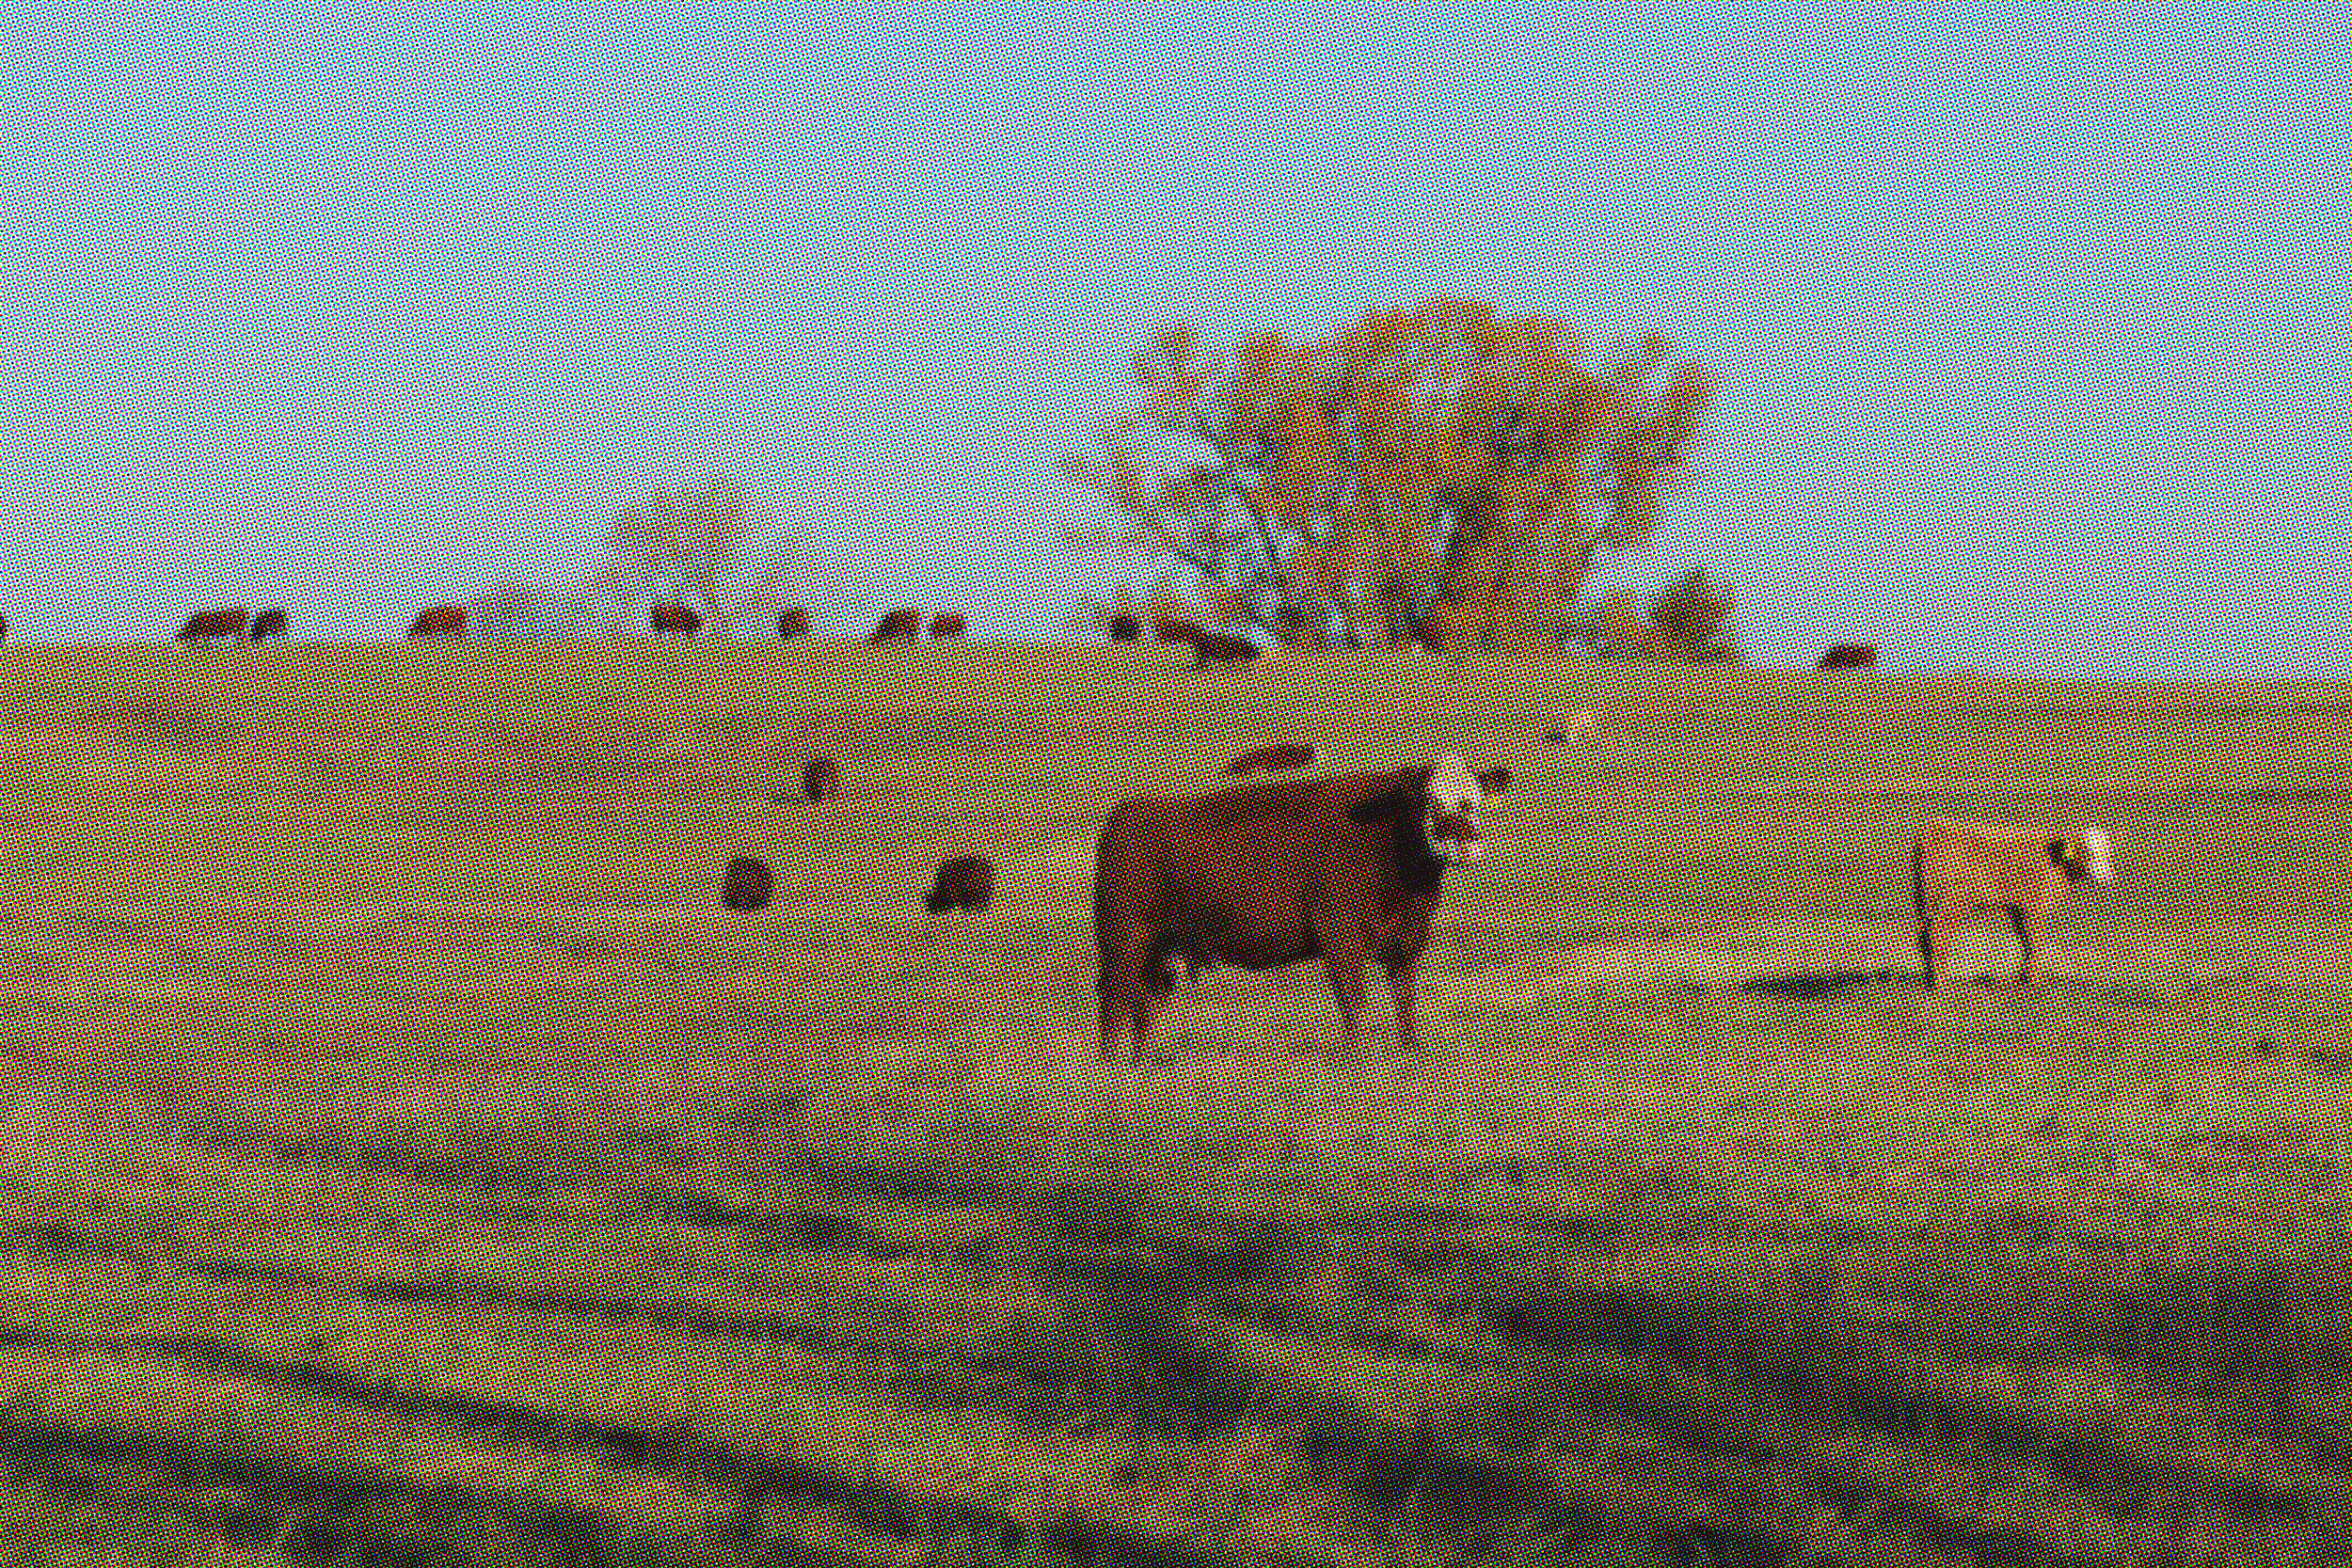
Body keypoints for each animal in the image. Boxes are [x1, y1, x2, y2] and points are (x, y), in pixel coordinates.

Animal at [1092, 755, 1510, 1063]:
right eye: (1425, 796)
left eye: (1474, 794)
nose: (1453, 828)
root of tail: (1125, 812)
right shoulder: (1341, 936)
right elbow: (1355, 1006)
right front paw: (1360, 1065)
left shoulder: (1407, 940)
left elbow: (1407, 1004)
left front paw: (1412, 1056)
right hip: (1125, 940)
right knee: (1115, 1009)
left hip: (1157, 948)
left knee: (1140, 1009)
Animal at [1912, 817, 2115, 988]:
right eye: (2086, 852)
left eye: (2105, 854)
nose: (2104, 876)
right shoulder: (2035, 906)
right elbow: (2035, 940)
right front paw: (2034, 978)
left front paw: (2027, 975)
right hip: (1945, 899)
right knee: (1937, 935)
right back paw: (1941, 980)